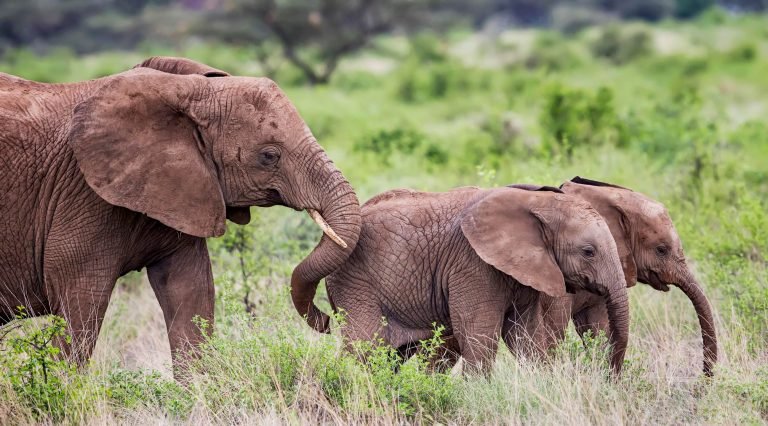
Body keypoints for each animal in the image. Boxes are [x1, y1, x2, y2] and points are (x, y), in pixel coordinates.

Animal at [0, 56, 361, 370]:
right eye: (269, 156)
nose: (327, 321)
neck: (188, 91)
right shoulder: (83, 196)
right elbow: (80, 309)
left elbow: (191, 292)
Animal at [319, 185, 630, 374]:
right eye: (588, 252)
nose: (610, 377)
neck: (536, 203)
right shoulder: (473, 265)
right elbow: (479, 335)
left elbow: (525, 334)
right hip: (353, 282)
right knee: (364, 347)